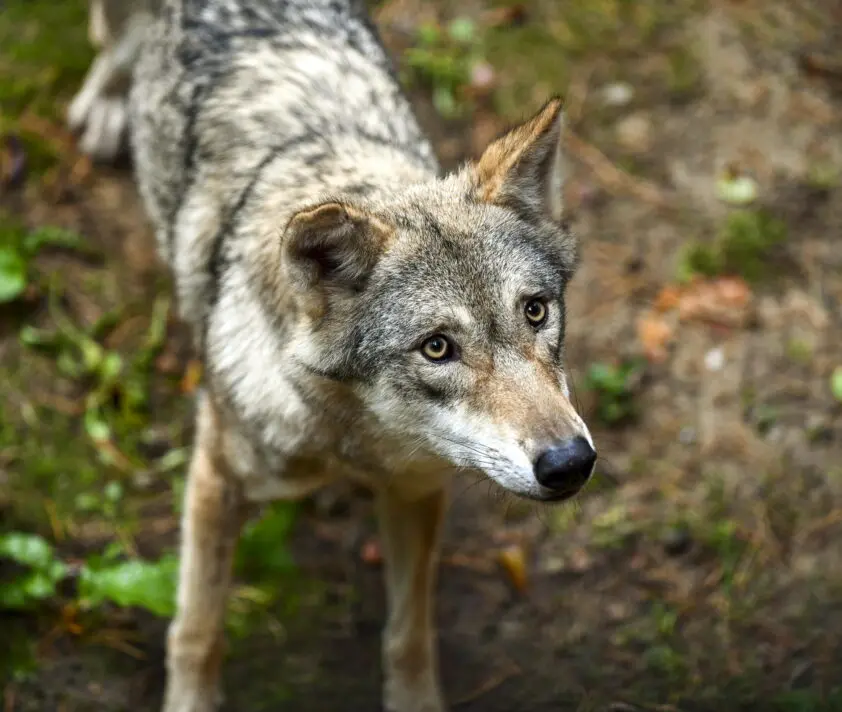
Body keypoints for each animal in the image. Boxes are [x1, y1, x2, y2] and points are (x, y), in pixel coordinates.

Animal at [69, 1, 597, 710]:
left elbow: (408, 634)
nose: (570, 463)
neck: (351, 436)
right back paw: (105, 106)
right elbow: (198, 630)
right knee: (109, 44)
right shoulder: (215, 479)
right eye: (437, 348)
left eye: (535, 311)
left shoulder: (416, 490)